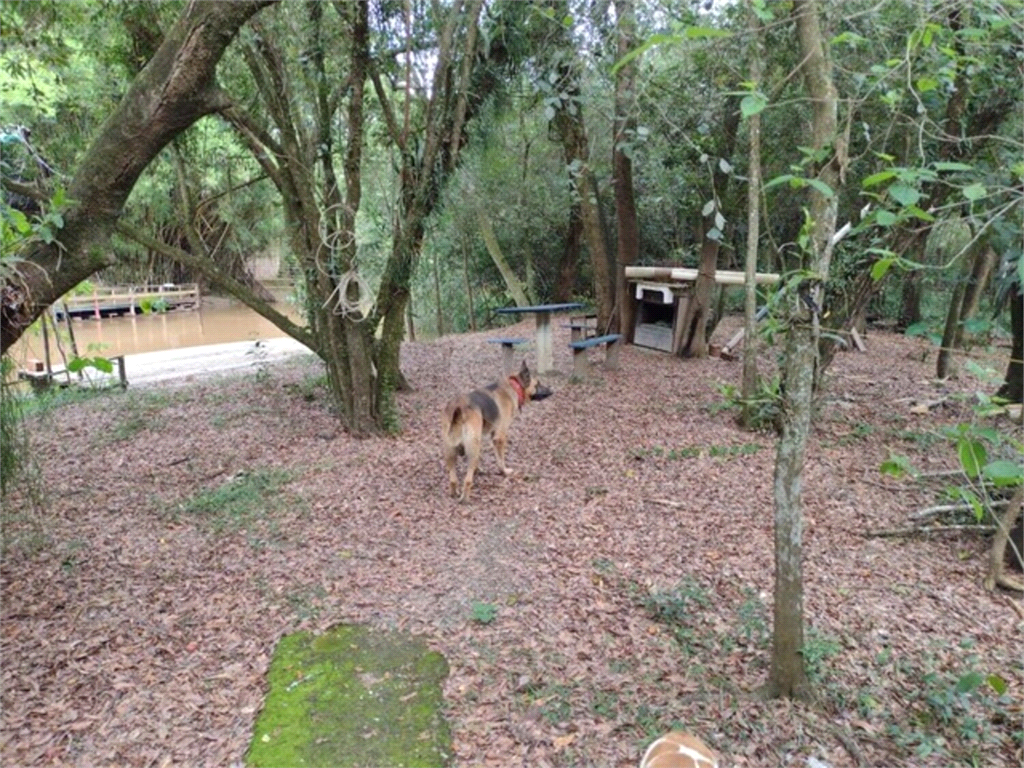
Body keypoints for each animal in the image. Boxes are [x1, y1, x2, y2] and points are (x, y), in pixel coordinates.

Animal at [440, 362, 552, 505]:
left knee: (453, 479)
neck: (514, 386)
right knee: (467, 480)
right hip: (474, 447)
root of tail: (459, 410)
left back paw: (455, 492)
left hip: (451, 450)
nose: (551, 390)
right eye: (537, 384)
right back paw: (465, 498)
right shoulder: (499, 437)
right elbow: (500, 460)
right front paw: (504, 472)